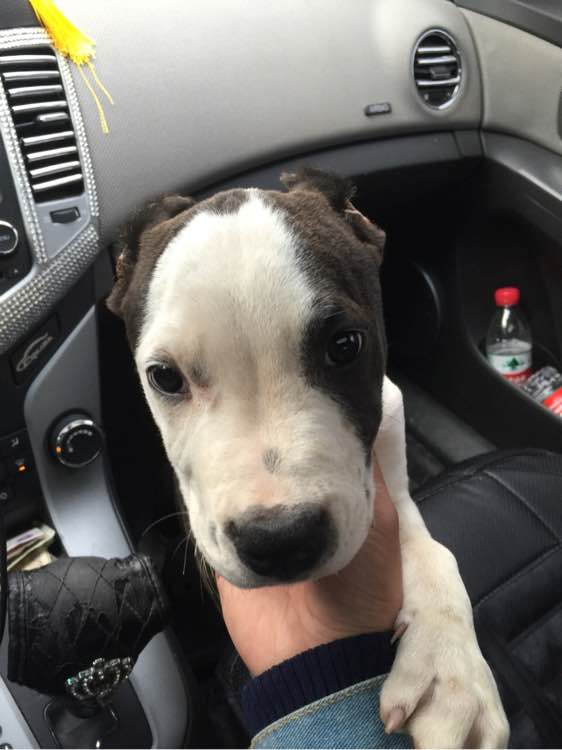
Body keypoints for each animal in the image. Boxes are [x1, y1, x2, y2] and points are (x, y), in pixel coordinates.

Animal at [107, 169, 509, 748]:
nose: (280, 541)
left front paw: (449, 668)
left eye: (345, 345)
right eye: (164, 377)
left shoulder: (390, 474)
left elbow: (433, 551)